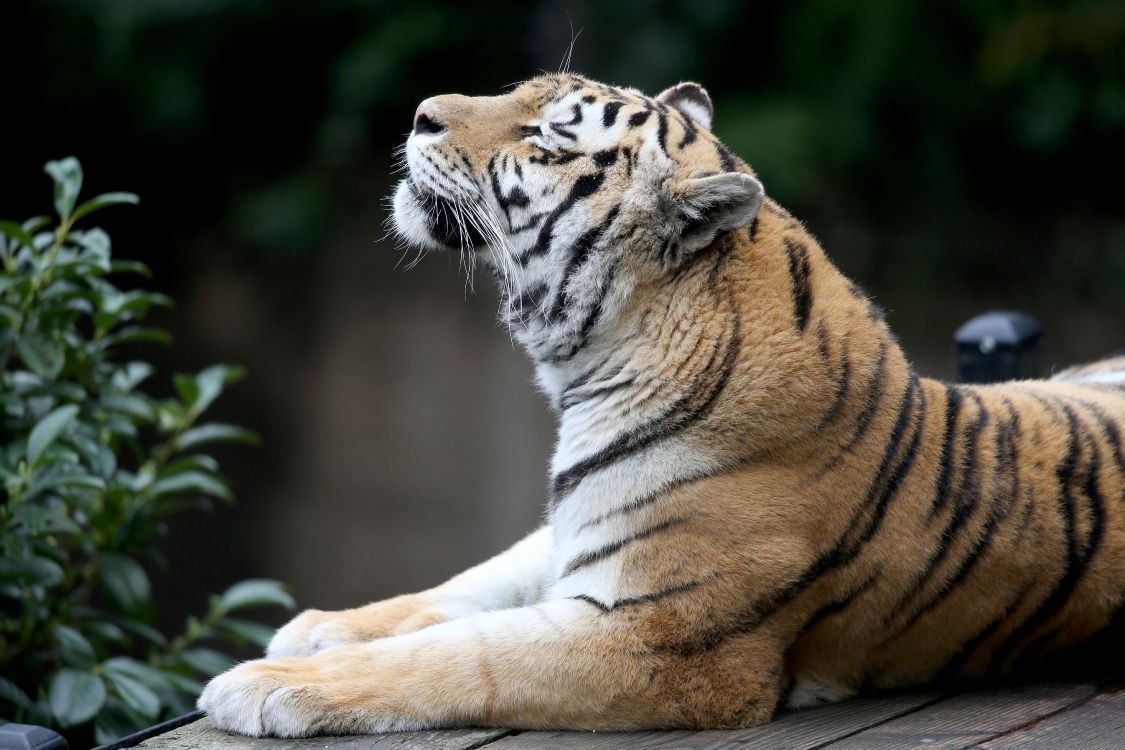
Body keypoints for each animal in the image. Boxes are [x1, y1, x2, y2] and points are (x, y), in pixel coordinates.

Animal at [200, 73, 1125, 737]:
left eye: (544, 136)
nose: (421, 114)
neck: (594, 367)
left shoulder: (663, 642)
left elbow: (466, 656)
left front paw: (266, 683)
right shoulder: (577, 533)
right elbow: (470, 586)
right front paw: (321, 624)